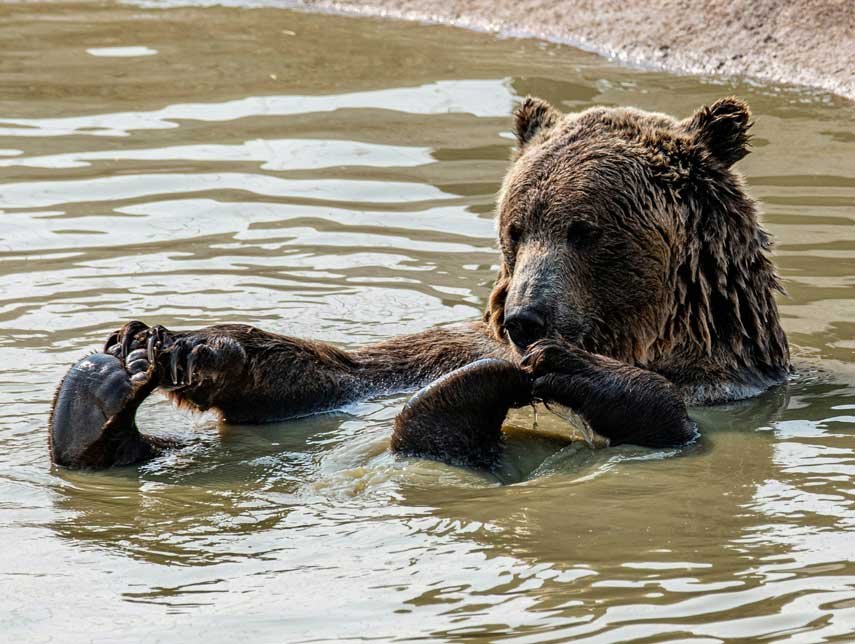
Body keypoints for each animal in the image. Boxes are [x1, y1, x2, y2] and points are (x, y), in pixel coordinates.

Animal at [49, 96, 790, 470]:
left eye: (585, 230)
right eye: (517, 227)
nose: (525, 319)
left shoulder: (730, 387)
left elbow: (673, 417)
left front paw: (568, 367)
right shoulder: (451, 344)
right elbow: (348, 375)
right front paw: (183, 344)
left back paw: (456, 408)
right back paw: (99, 395)